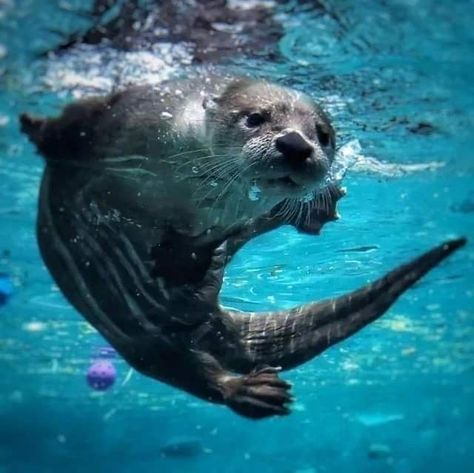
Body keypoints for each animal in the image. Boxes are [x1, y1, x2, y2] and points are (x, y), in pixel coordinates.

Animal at [20, 75, 464, 418]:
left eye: (323, 135)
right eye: (255, 118)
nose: (295, 144)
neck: (175, 185)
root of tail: (215, 316)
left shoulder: (226, 216)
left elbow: (211, 236)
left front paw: (179, 259)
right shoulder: (126, 113)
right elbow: (76, 121)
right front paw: (34, 125)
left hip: (148, 344)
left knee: (197, 370)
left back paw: (251, 389)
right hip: (138, 342)